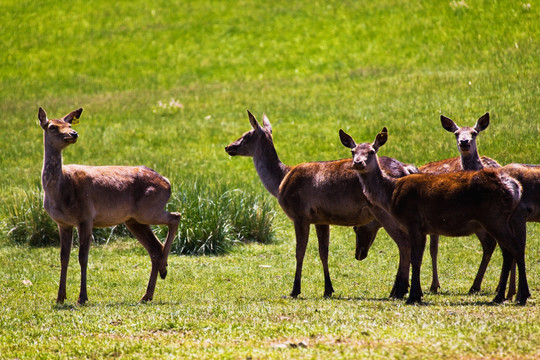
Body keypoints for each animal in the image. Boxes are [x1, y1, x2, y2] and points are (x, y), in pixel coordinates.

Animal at [39, 107, 181, 304]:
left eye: (69, 125)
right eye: (52, 126)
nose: (73, 134)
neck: (59, 190)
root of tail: (167, 182)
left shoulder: (86, 216)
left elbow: (83, 257)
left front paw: (82, 297)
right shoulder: (63, 223)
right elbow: (63, 257)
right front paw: (60, 297)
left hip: (150, 209)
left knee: (175, 217)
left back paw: (163, 270)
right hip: (134, 220)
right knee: (154, 248)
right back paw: (148, 292)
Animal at [225, 111, 418, 300]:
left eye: (246, 135)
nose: (228, 147)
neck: (280, 182)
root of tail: (406, 169)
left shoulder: (299, 214)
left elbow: (299, 252)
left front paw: (295, 290)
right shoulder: (321, 219)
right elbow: (323, 252)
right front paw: (328, 289)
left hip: (383, 210)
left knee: (404, 243)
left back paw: (399, 290)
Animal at [340, 126, 528, 304]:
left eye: (372, 151)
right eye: (353, 151)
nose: (358, 163)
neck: (391, 192)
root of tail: (515, 187)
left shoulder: (413, 221)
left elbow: (415, 259)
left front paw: (413, 296)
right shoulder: (422, 227)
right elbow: (418, 258)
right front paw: (417, 294)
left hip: (494, 217)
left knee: (515, 248)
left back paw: (520, 295)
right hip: (498, 220)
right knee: (508, 251)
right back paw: (501, 296)